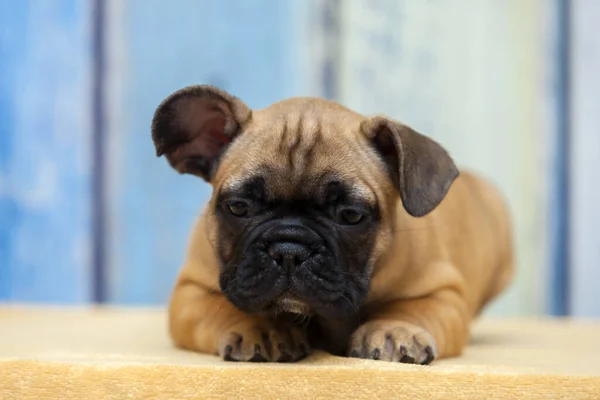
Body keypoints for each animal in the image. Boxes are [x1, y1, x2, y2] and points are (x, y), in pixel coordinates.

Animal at [150, 85, 510, 366]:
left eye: (350, 216)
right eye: (239, 207)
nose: (289, 249)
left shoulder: (442, 291)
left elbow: (414, 307)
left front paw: (395, 328)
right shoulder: (191, 292)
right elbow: (227, 308)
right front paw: (263, 328)